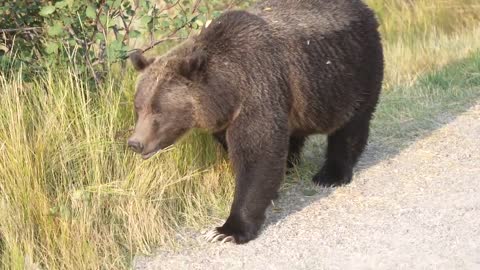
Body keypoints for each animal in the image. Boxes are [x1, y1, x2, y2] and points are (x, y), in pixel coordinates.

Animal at [126, 0, 382, 245]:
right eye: (139, 107)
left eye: (159, 111)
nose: (136, 143)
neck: (227, 90)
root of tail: (364, 7)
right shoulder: (229, 117)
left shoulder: (257, 89)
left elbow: (257, 155)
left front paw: (226, 230)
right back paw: (290, 165)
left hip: (353, 71)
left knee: (350, 126)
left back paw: (330, 175)